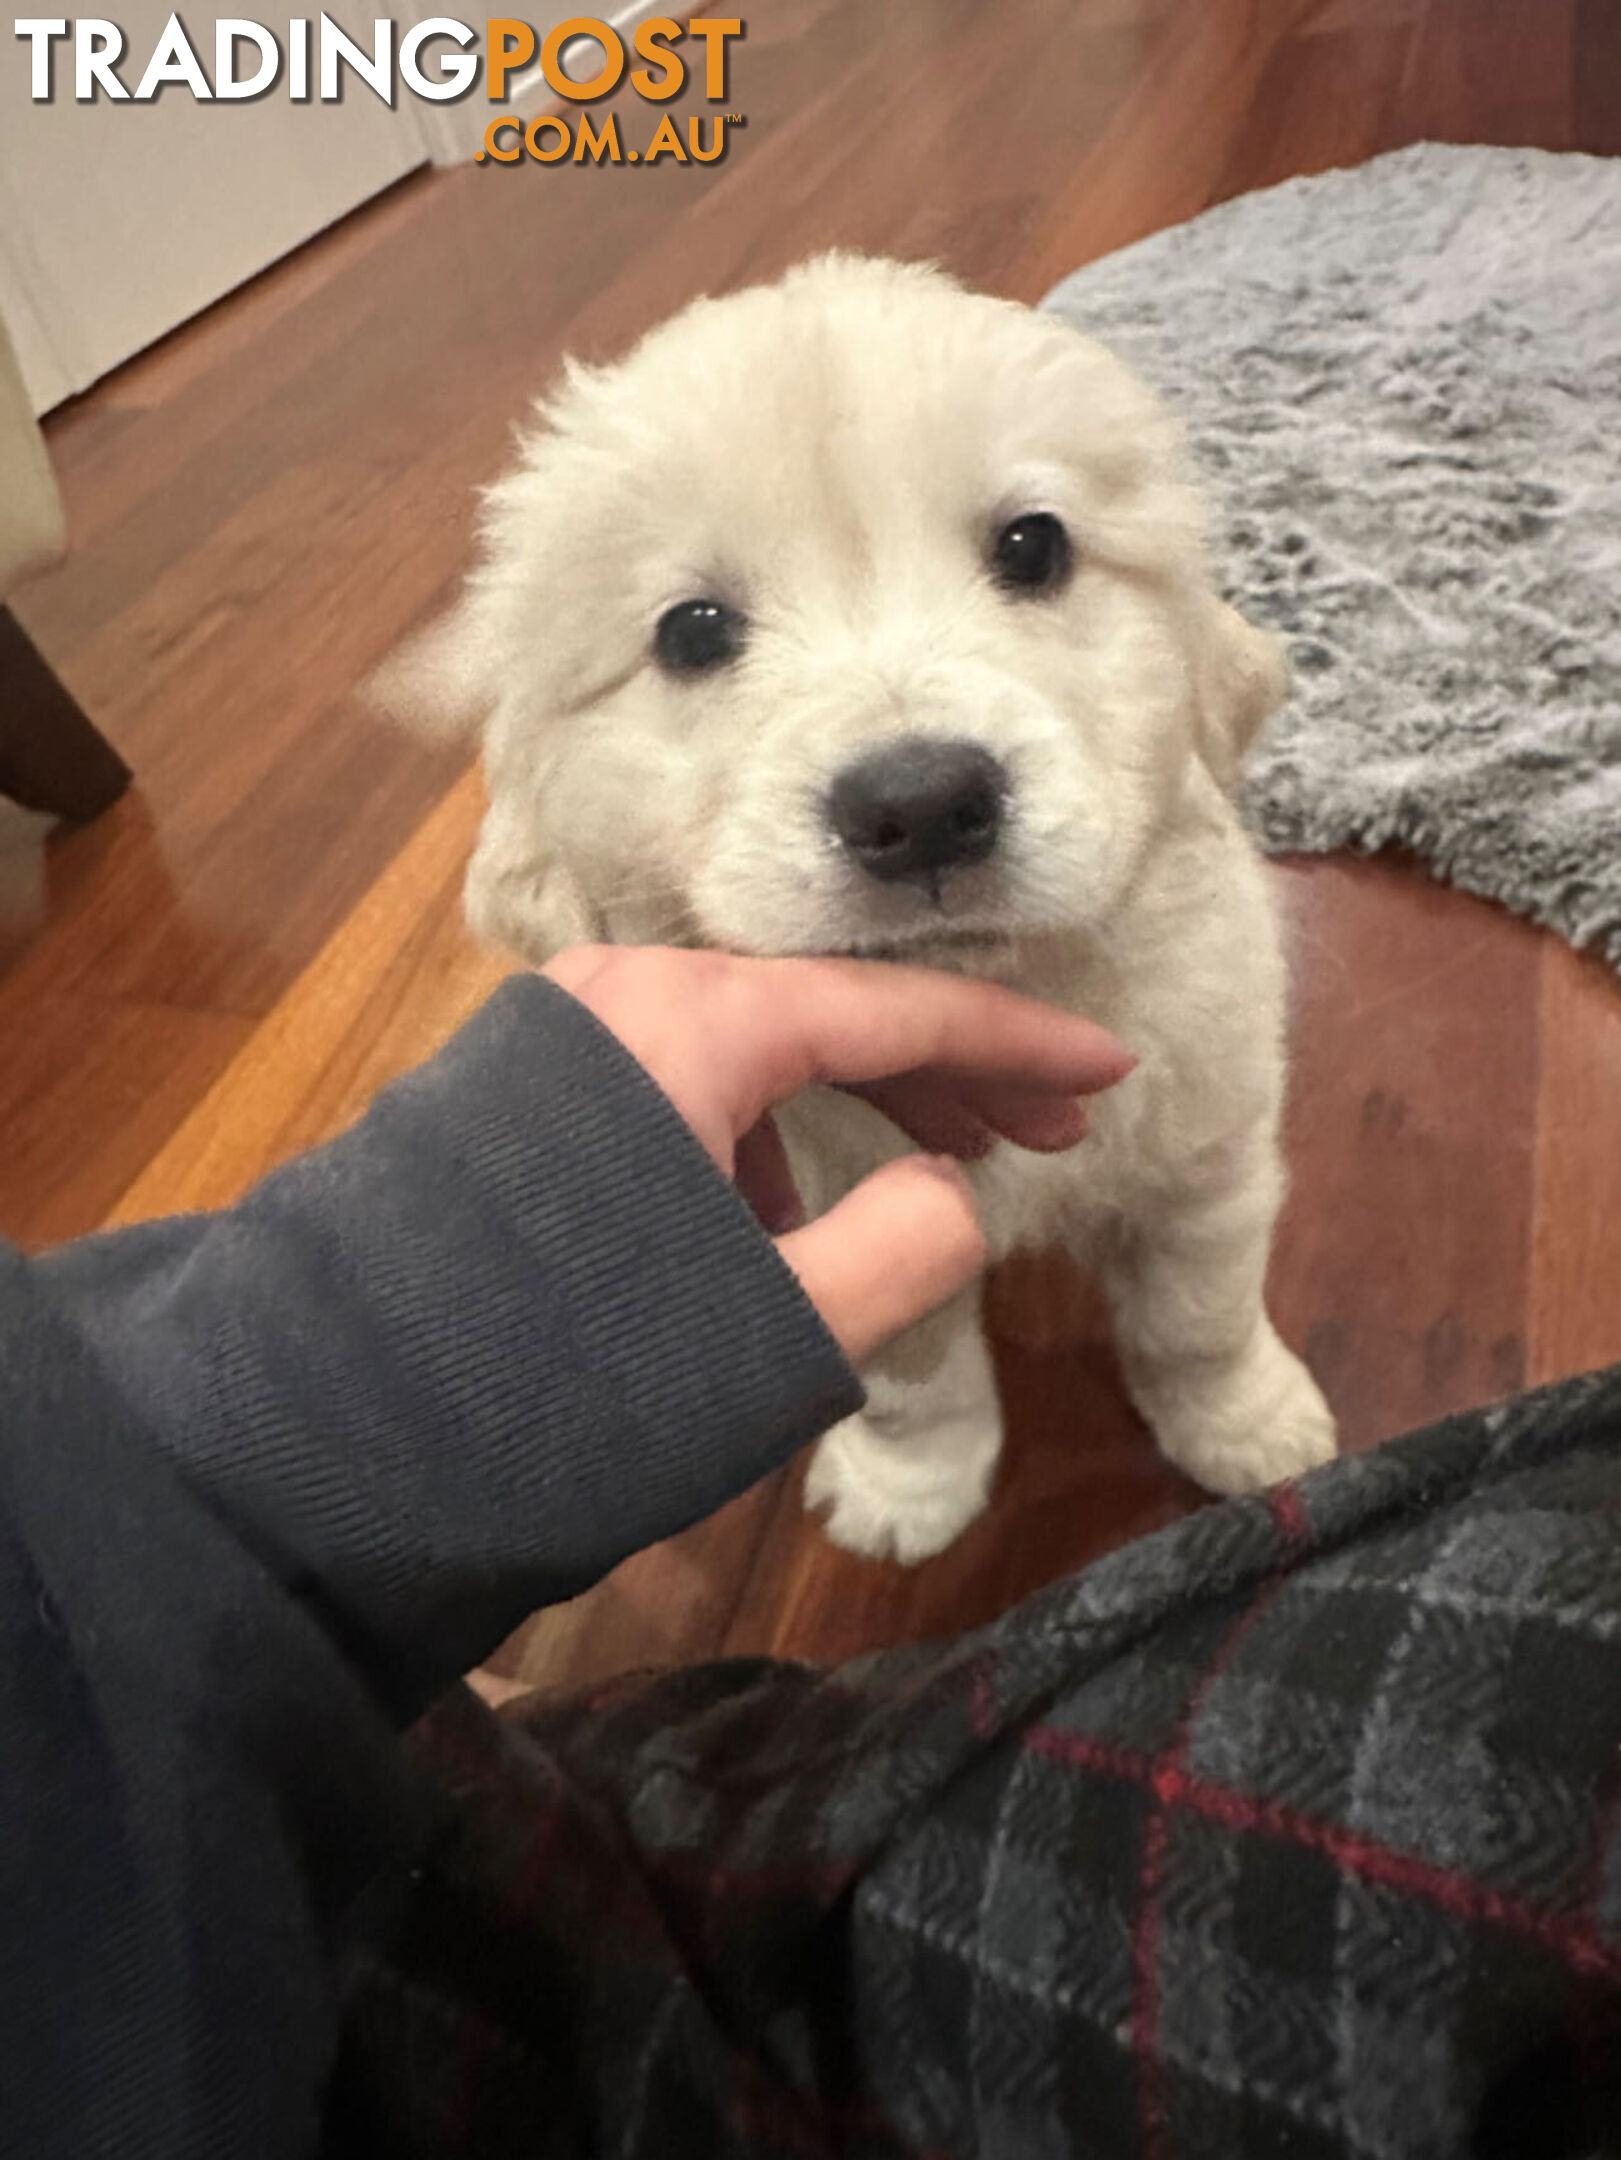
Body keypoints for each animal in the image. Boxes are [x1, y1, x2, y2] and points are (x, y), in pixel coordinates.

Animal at [384, 257, 1348, 1555]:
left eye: (1032, 548)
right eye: (693, 631)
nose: (923, 804)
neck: (996, 990)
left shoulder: (1207, 1156)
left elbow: (1198, 1317)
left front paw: (1244, 1424)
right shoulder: (832, 1234)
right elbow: (914, 1381)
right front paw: (911, 1489)